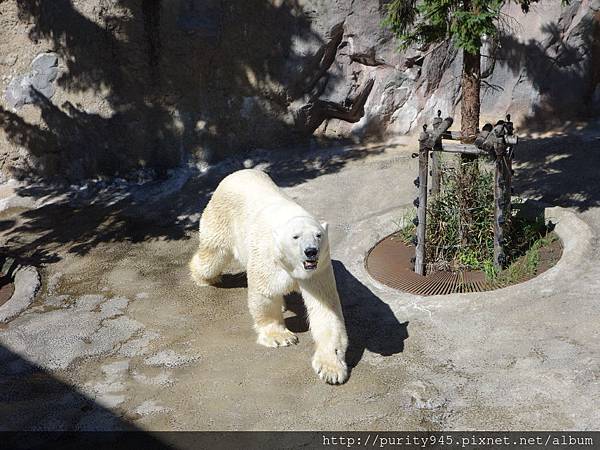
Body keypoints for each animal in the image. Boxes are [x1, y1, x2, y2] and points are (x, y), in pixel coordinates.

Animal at [190, 169, 350, 384]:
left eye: (318, 235)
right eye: (296, 237)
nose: (311, 251)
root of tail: (235, 173)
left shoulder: (318, 269)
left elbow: (324, 308)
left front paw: (331, 369)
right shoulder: (268, 255)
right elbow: (265, 293)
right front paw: (280, 337)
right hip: (220, 219)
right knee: (212, 256)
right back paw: (205, 278)